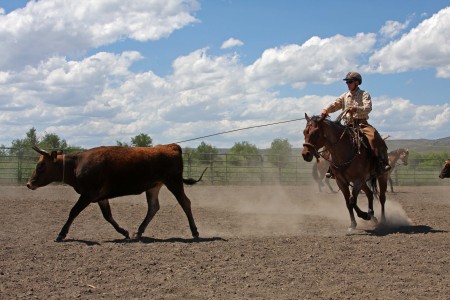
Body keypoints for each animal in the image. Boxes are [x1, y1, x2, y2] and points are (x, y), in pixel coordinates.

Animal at [26, 144, 206, 243]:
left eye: (41, 166)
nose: (29, 184)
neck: (76, 164)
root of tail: (171, 146)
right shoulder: (100, 197)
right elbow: (108, 216)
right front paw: (124, 232)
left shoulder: (88, 194)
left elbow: (73, 212)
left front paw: (61, 234)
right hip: (154, 186)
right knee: (153, 207)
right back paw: (139, 232)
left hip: (173, 182)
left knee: (185, 203)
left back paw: (195, 232)